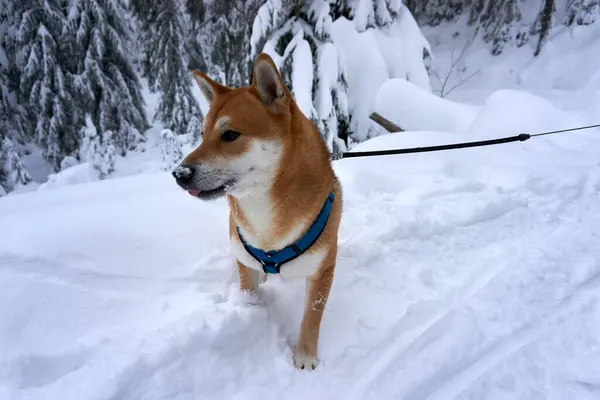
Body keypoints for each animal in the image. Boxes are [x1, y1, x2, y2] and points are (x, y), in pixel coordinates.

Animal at [173, 53, 342, 372]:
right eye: (202, 135)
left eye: (230, 135)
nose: (179, 174)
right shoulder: (244, 260)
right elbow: (249, 291)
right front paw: (250, 310)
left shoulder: (322, 269)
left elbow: (312, 315)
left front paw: (305, 355)